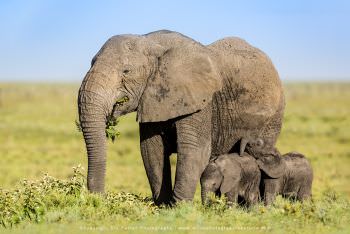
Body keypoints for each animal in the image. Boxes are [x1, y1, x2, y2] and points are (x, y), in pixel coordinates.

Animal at [77, 29, 284, 205]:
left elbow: (194, 149)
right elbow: (152, 150)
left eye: (126, 71)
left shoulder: (200, 101)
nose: (99, 198)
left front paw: (179, 207)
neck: (151, 42)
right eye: (91, 62)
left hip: (273, 118)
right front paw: (163, 207)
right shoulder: (152, 98)